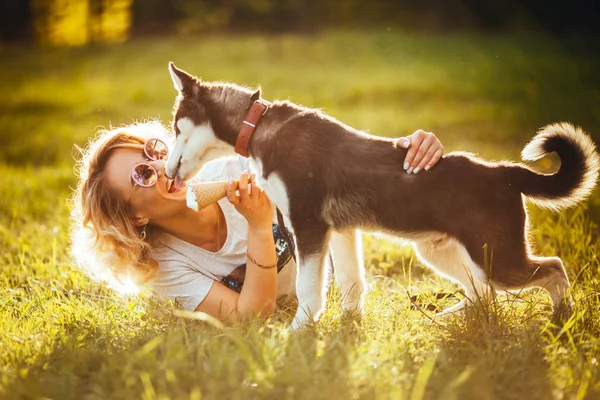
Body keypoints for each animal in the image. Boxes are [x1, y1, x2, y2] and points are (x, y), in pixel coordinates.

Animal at [165, 61, 600, 324]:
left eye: (176, 127)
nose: (167, 172)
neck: (257, 126)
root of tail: (504, 173)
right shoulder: (340, 230)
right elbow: (351, 283)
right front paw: (348, 326)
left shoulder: (308, 226)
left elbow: (309, 289)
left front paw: (300, 330)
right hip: (443, 251)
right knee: (483, 293)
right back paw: (449, 318)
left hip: (496, 258)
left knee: (553, 269)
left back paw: (562, 317)